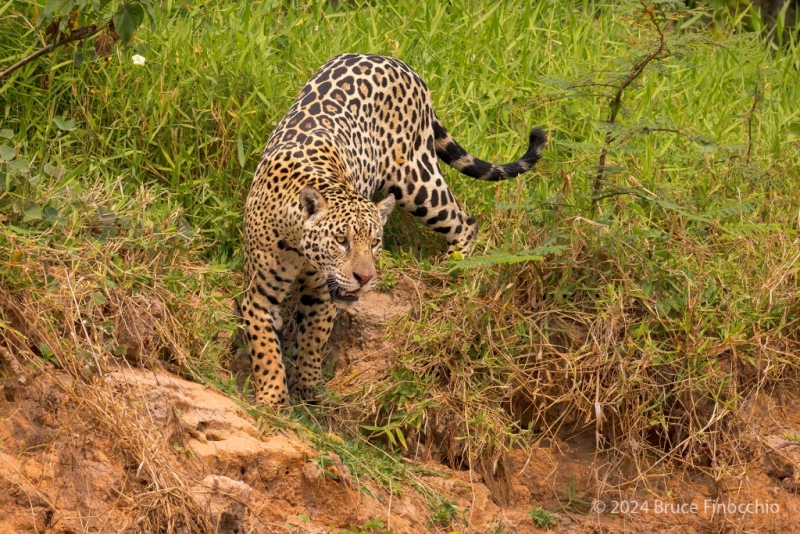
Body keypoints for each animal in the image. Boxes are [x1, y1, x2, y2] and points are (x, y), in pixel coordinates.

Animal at [242, 54, 546, 407]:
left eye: (375, 243)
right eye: (341, 241)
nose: (364, 278)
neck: (300, 248)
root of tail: (396, 62)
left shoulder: (321, 294)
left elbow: (313, 341)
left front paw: (310, 387)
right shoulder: (259, 295)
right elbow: (266, 351)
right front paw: (272, 400)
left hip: (416, 179)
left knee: (464, 221)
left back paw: (453, 268)